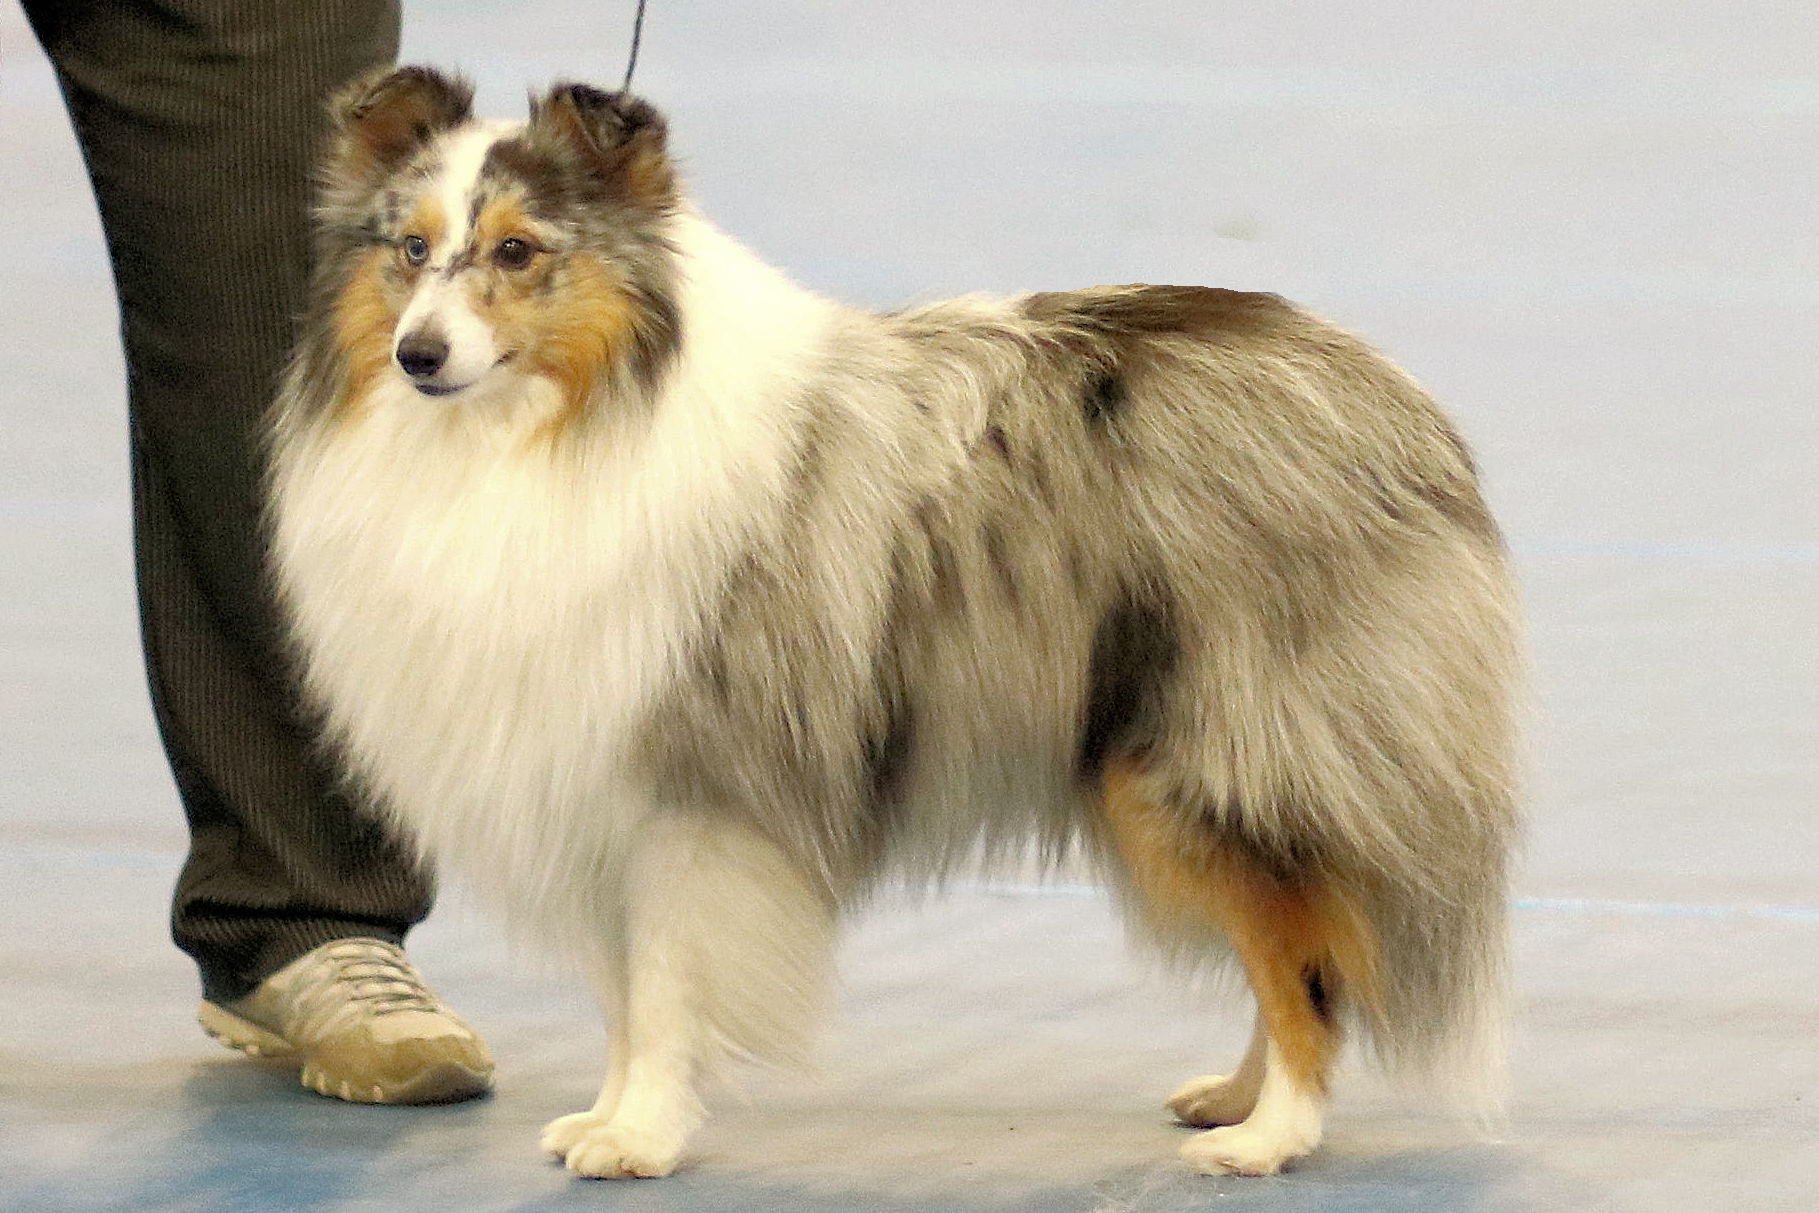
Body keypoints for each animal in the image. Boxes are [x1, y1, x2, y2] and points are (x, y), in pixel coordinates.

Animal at [267, 66, 1523, 1180]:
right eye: (409, 249)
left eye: (519, 252)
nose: (417, 354)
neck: (555, 428)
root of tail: (1395, 400)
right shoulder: (596, 789)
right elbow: (626, 997)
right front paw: (611, 1117)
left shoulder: (692, 788)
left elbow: (665, 986)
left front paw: (644, 1139)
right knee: (1308, 935)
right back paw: (1235, 1096)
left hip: (1197, 764)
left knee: (1302, 958)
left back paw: (1269, 1138)